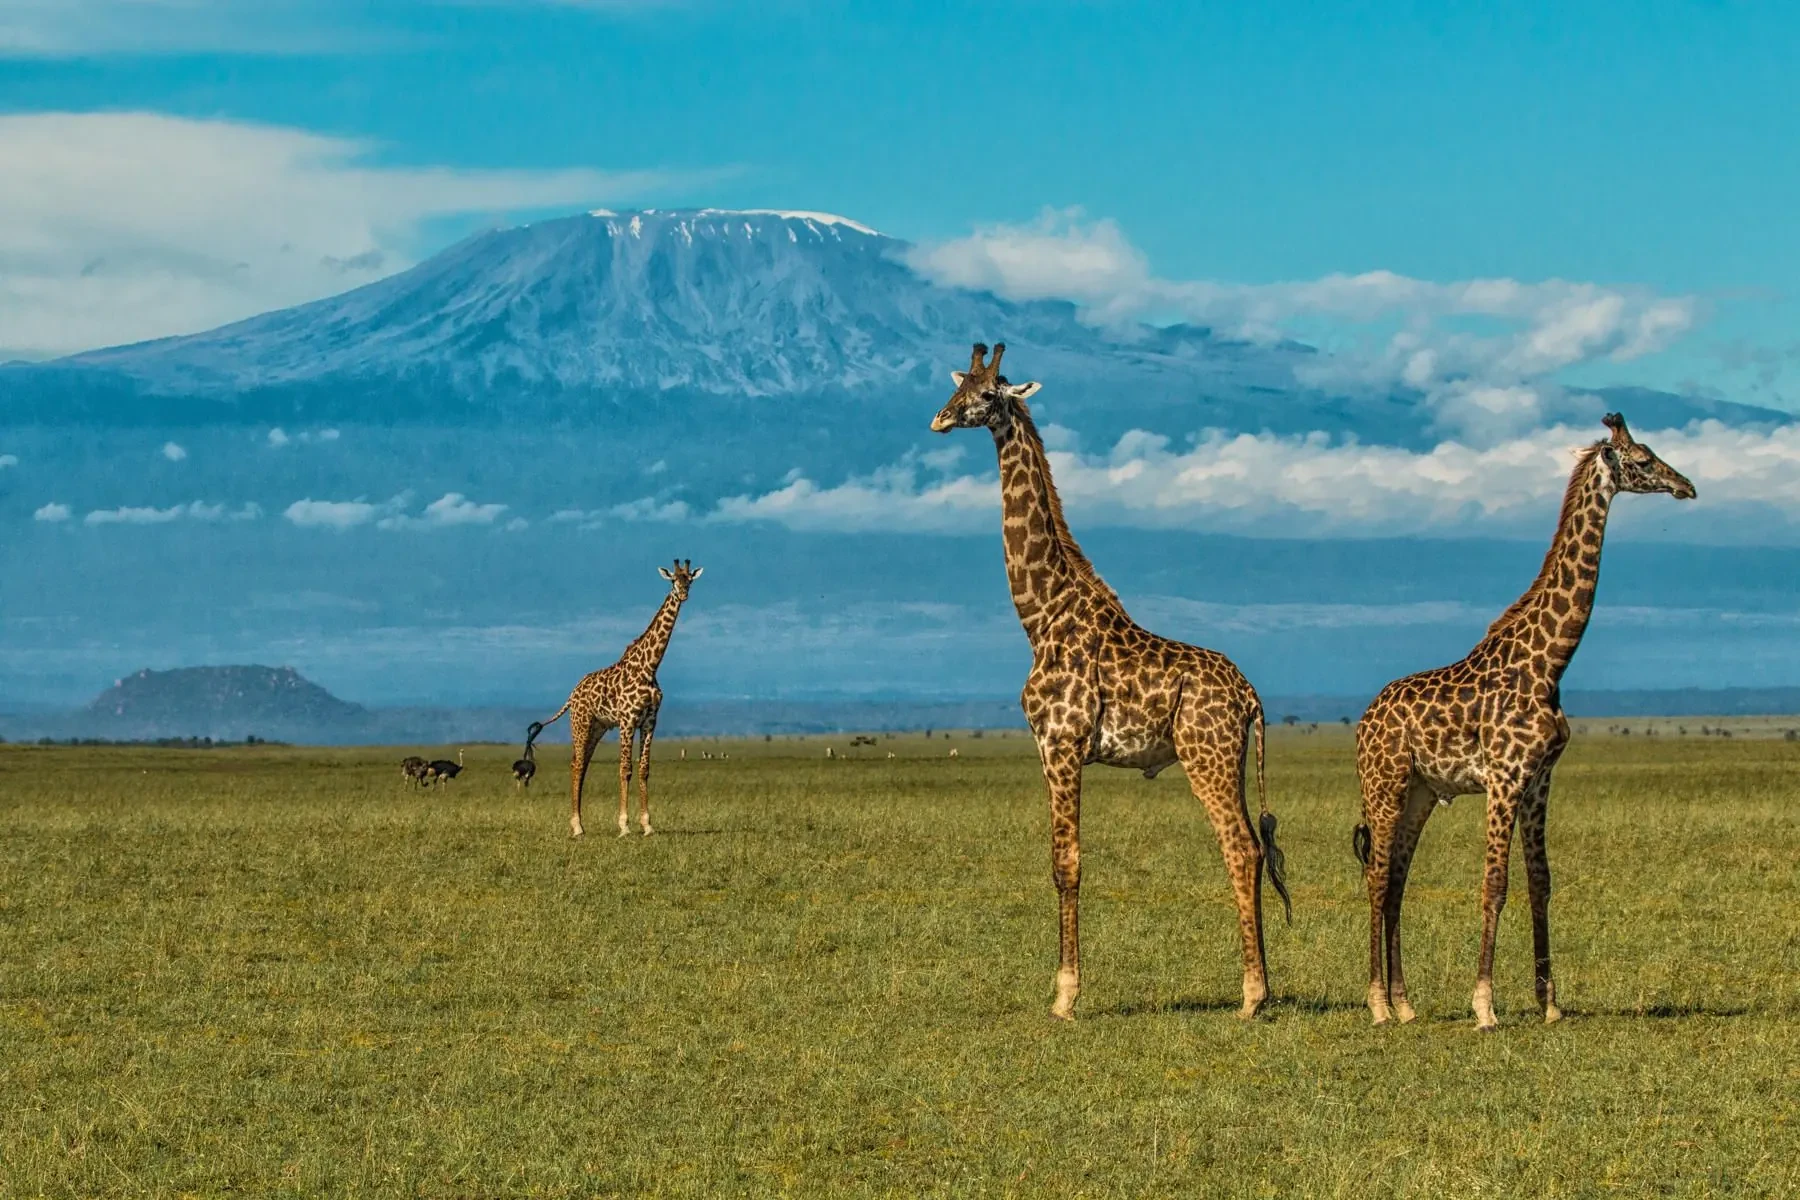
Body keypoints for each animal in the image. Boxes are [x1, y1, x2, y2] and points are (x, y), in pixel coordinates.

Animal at [525, 559, 703, 838]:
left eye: (690, 580)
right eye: (674, 580)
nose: (683, 594)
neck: (649, 667)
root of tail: (572, 694)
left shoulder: (650, 721)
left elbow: (643, 769)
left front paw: (647, 825)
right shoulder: (628, 720)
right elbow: (625, 769)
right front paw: (624, 826)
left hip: (597, 728)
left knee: (583, 764)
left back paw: (580, 824)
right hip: (581, 723)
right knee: (576, 764)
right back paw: (577, 827)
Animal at [932, 343, 1292, 1021]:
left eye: (989, 394)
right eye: (959, 385)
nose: (939, 419)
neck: (1040, 614)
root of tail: (1252, 696)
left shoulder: (1060, 744)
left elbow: (1066, 863)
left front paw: (1065, 996)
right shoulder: (1055, 748)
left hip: (1205, 757)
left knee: (1239, 847)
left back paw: (1252, 997)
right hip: (1229, 761)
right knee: (1254, 849)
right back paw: (1261, 988)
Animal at [1354, 413, 1695, 1030]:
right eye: (1643, 458)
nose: (1687, 486)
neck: (1550, 661)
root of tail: (1364, 721)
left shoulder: (1540, 779)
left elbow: (1541, 883)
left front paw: (1550, 1003)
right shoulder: (1505, 778)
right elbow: (1494, 884)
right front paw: (1484, 1006)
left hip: (1419, 792)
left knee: (1397, 883)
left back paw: (1407, 1004)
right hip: (1384, 784)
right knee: (1377, 879)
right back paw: (1378, 1005)